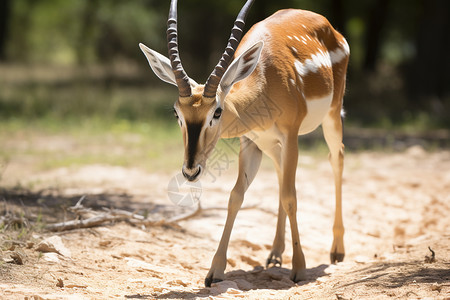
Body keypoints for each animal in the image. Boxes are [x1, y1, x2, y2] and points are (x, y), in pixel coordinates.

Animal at [139, 0, 350, 288]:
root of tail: (330, 27)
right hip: (271, 145)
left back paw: (337, 251)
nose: (191, 171)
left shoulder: (291, 135)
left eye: (216, 112)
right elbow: (236, 196)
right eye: (176, 113)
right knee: (281, 175)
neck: (265, 79)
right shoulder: (250, 142)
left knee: (336, 159)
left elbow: (290, 197)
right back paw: (274, 254)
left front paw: (299, 268)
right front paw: (214, 271)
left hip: (331, 115)